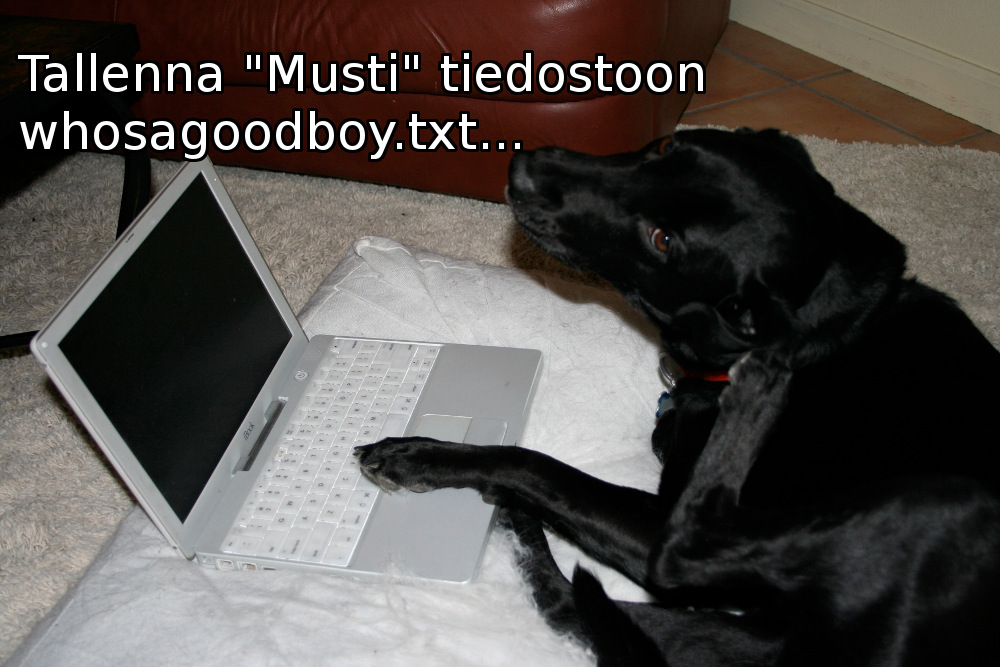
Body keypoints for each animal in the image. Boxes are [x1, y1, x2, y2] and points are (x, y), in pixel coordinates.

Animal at [355, 128, 1000, 665]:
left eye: (663, 240)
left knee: (587, 592)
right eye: (667, 146)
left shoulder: (657, 525)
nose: (525, 167)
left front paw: (419, 454)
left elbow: (533, 463)